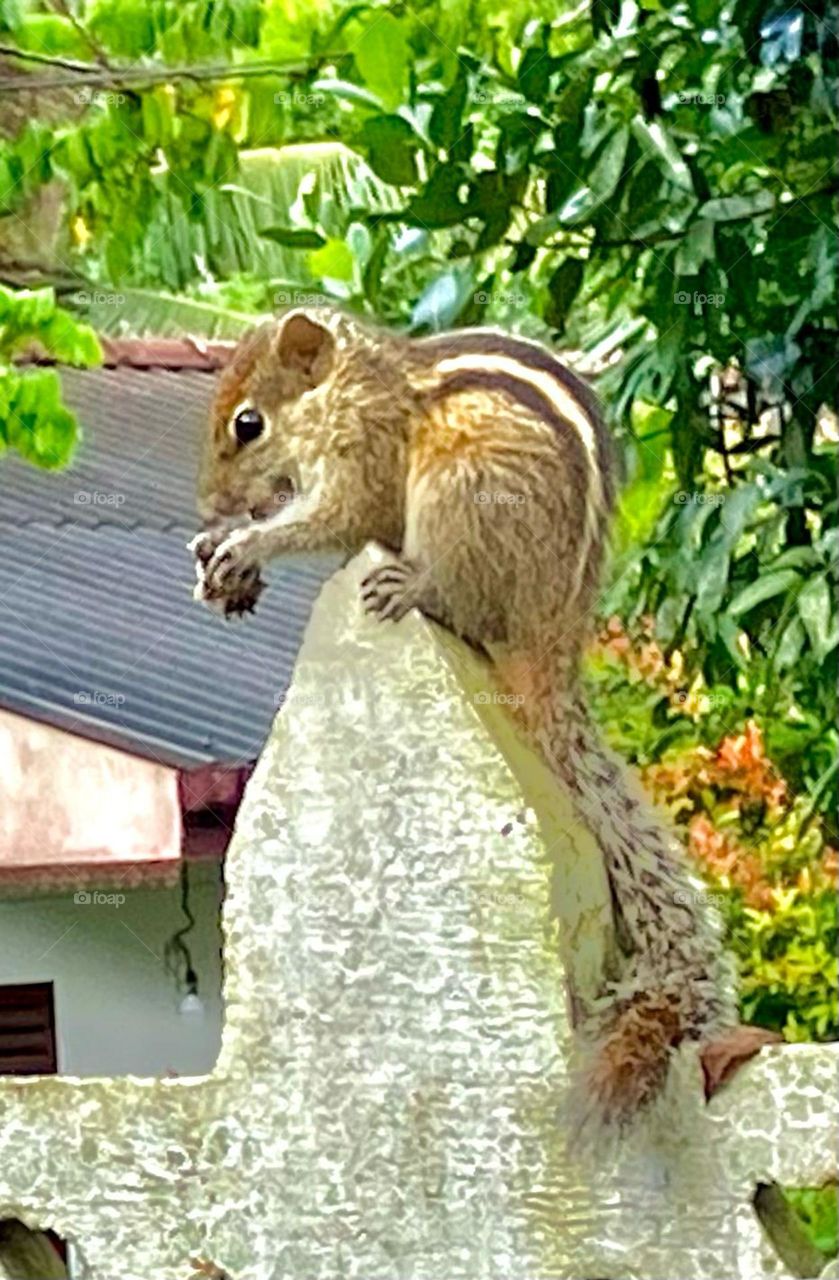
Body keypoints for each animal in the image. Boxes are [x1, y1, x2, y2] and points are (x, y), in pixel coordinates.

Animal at [191, 305, 737, 1130]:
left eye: (248, 425)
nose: (210, 506)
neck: (352, 386)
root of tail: (553, 639)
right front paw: (221, 550)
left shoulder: (365, 458)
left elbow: (336, 517)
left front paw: (248, 543)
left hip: (463, 494)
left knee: (458, 597)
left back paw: (414, 587)